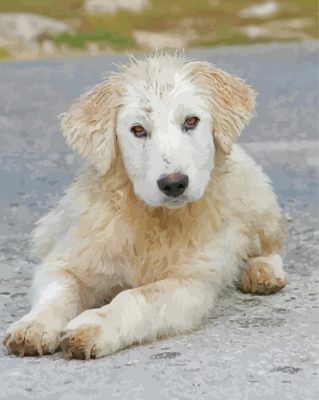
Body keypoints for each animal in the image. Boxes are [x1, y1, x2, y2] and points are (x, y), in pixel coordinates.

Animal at [1, 53, 288, 360]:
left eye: (191, 121)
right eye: (137, 130)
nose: (174, 184)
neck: (154, 218)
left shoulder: (189, 284)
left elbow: (136, 297)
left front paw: (94, 326)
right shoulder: (71, 259)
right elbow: (57, 291)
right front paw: (33, 326)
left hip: (255, 199)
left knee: (268, 245)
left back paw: (263, 272)